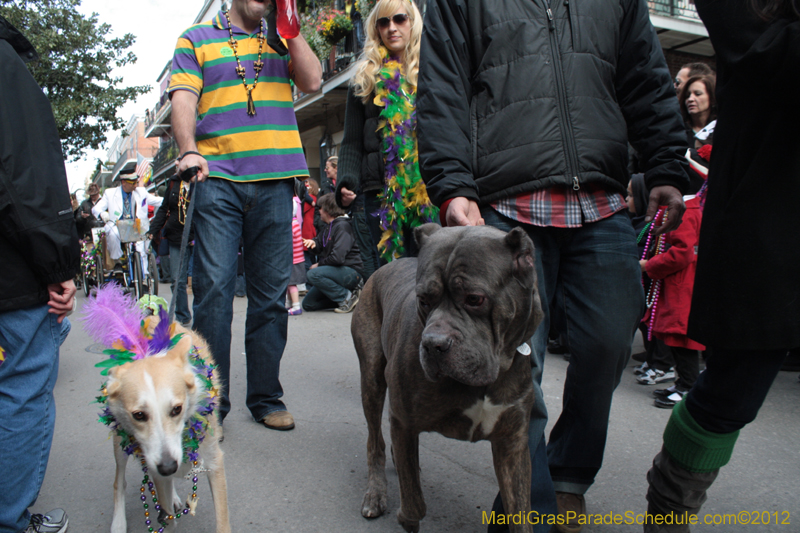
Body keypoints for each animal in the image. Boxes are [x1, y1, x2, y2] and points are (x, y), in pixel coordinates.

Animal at [104, 324, 230, 532]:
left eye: (177, 409)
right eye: (139, 415)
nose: (168, 466)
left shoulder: (214, 462)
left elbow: (223, 524)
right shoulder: (157, 472)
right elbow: (168, 516)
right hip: (120, 441)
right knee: (118, 482)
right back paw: (118, 523)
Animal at [352, 222, 544, 528]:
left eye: (475, 299)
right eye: (423, 300)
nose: (433, 344)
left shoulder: (512, 443)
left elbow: (520, 511)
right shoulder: (404, 421)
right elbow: (414, 502)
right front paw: (407, 517)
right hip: (371, 378)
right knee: (375, 441)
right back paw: (376, 493)